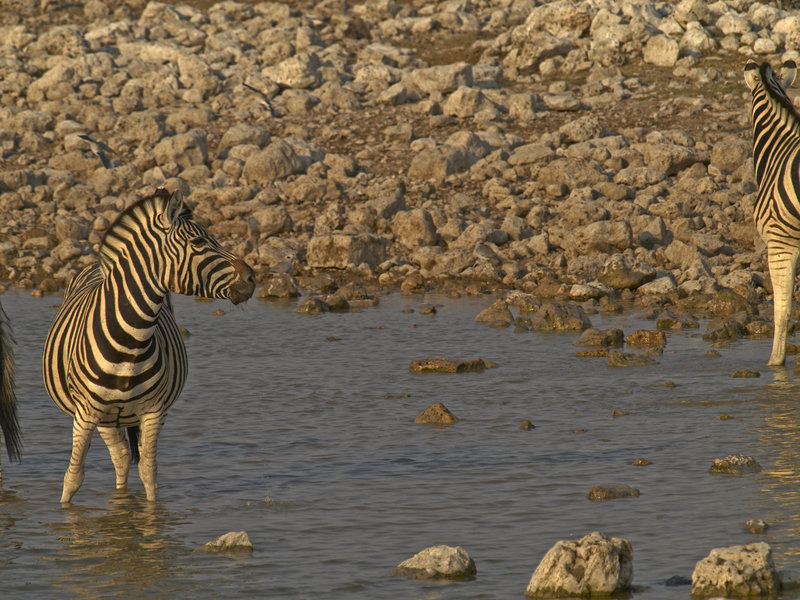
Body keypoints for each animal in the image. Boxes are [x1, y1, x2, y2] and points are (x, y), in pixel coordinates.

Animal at [42, 188, 255, 503]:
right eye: (199, 242)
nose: (252, 278)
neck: (129, 342)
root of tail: (94, 264)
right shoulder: (85, 414)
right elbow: (73, 477)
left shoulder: (154, 412)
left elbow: (149, 474)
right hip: (105, 417)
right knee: (119, 455)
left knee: (123, 456)